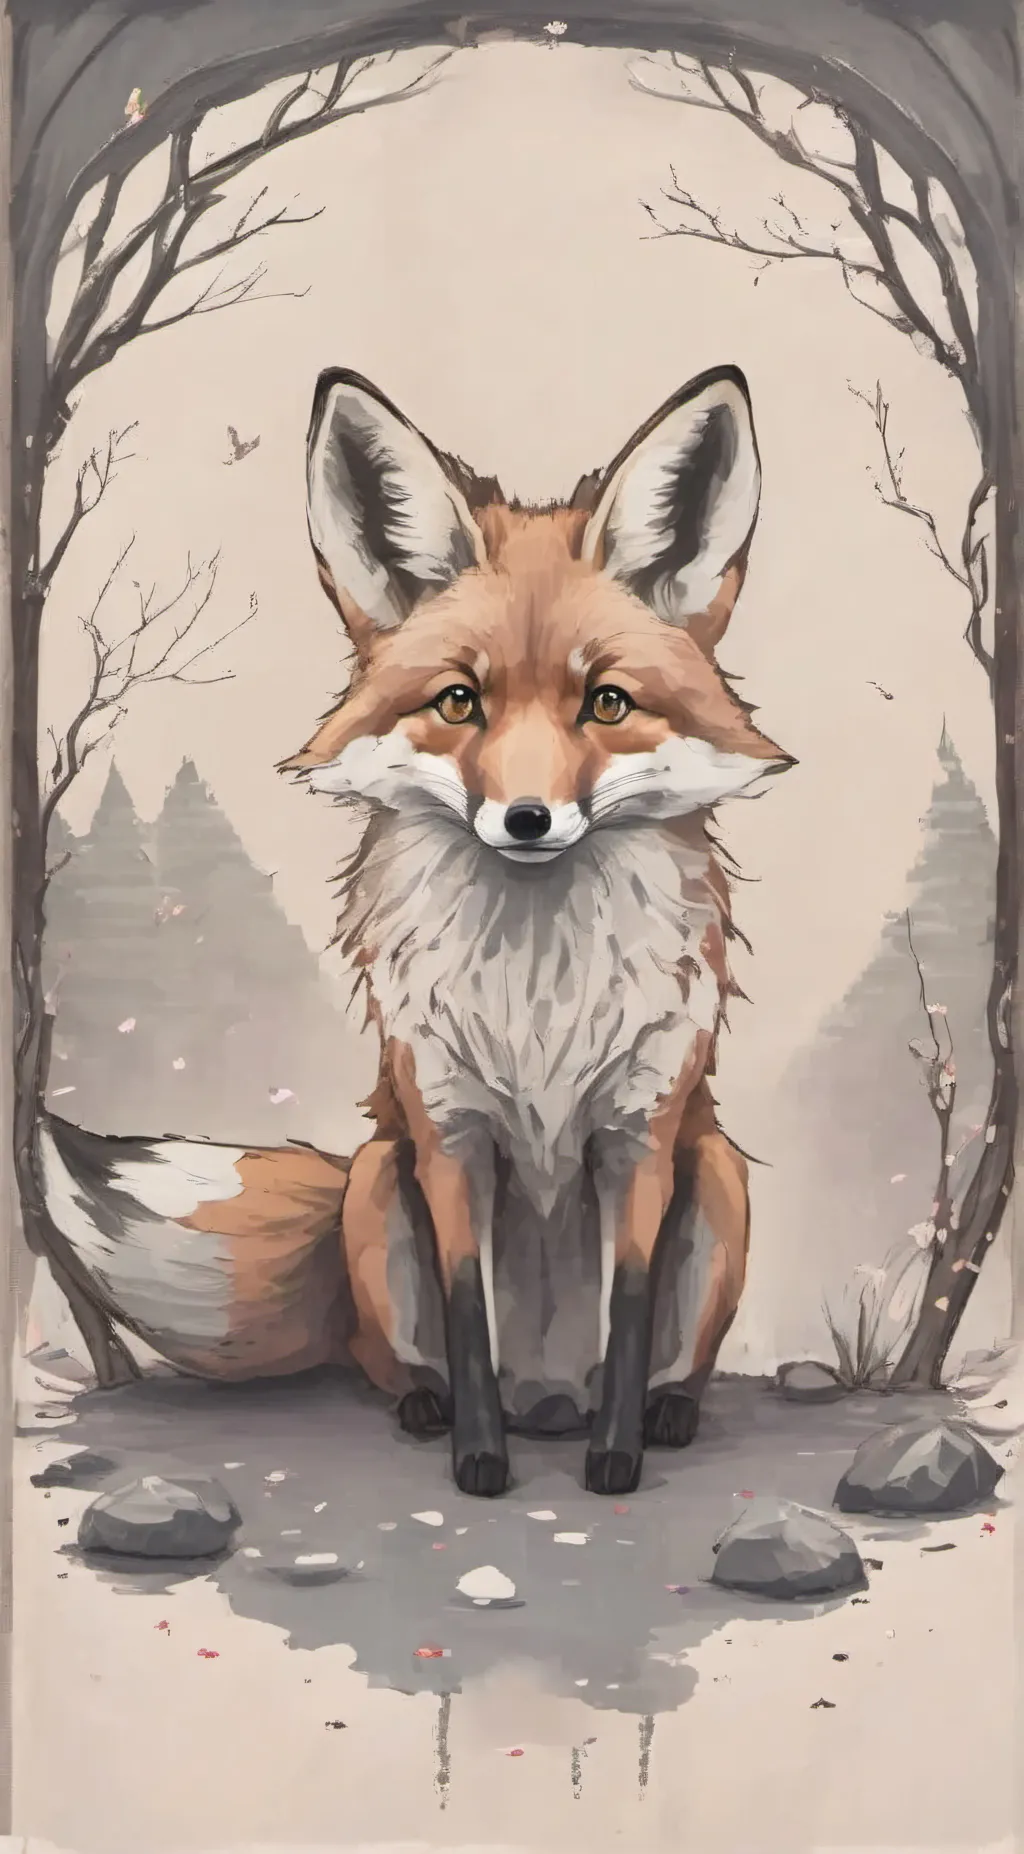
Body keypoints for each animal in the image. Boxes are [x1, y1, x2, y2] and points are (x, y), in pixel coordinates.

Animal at [277, 362, 793, 1498]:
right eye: (458, 701)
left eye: (606, 703)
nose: (525, 819)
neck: (538, 995)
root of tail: (546, 1399)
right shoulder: (447, 1130)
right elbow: (466, 1310)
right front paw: (479, 1460)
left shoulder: (639, 1132)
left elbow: (631, 1305)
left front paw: (617, 1462)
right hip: (371, 1184)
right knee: (404, 1363)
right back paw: (433, 1411)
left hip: (723, 1174)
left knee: (670, 1361)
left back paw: (660, 1414)